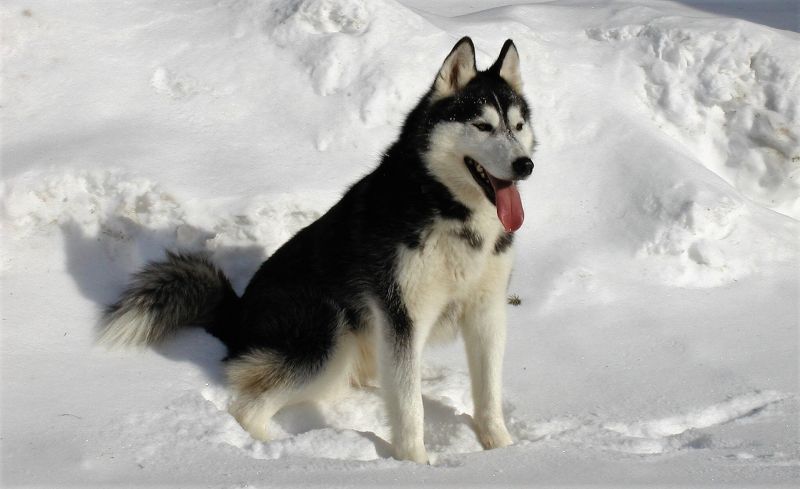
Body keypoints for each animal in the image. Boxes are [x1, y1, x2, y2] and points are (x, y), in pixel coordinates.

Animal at [101, 37, 536, 462]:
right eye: (482, 126)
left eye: (518, 126)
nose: (525, 164)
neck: (449, 210)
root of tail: (237, 311)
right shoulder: (402, 318)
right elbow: (411, 409)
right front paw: (414, 464)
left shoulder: (486, 311)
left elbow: (488, 394)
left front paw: (504, 451)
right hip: (329, 336)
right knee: (248, 408)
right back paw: (285, 454)